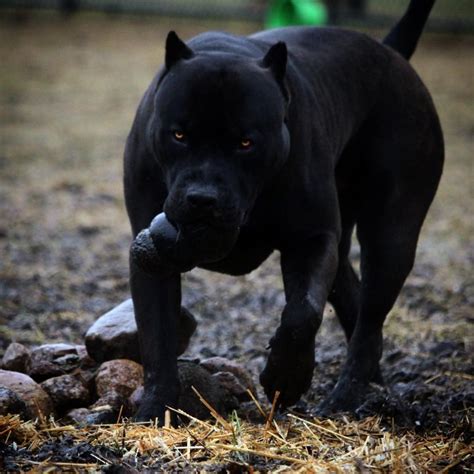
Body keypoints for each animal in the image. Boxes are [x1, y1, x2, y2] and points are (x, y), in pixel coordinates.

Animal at [124, 0, 442, 422]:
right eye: (178, 135)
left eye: (246, 142)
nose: (203, 198)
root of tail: (390, 51)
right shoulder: (151, 255)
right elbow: (157, 334)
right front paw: (155, 410)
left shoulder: (311, 240)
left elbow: (302, 313)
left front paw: (286, 379)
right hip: (346, 246)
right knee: (356, 306)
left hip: (391, 237)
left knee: (369, 319)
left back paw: (345, 397)